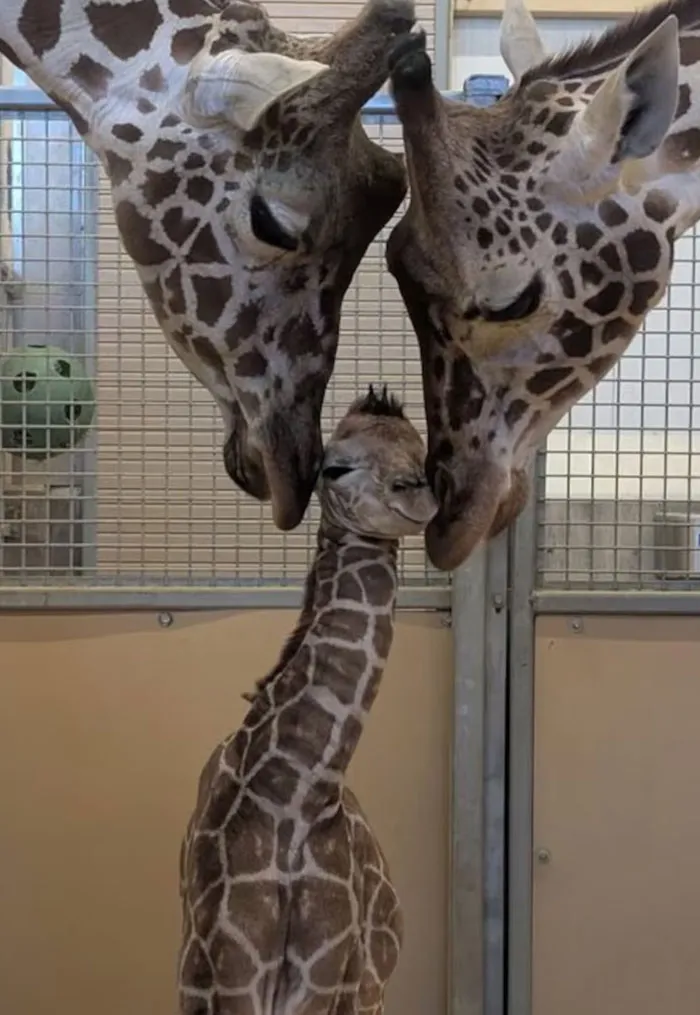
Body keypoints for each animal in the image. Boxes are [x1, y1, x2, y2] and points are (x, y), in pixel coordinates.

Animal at [178, 384, 437, 1015]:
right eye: (335, 467)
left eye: (423, 453)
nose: (416, 494)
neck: (296, 795)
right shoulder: (225, 977)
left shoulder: (324, 980)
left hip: (368, 990)